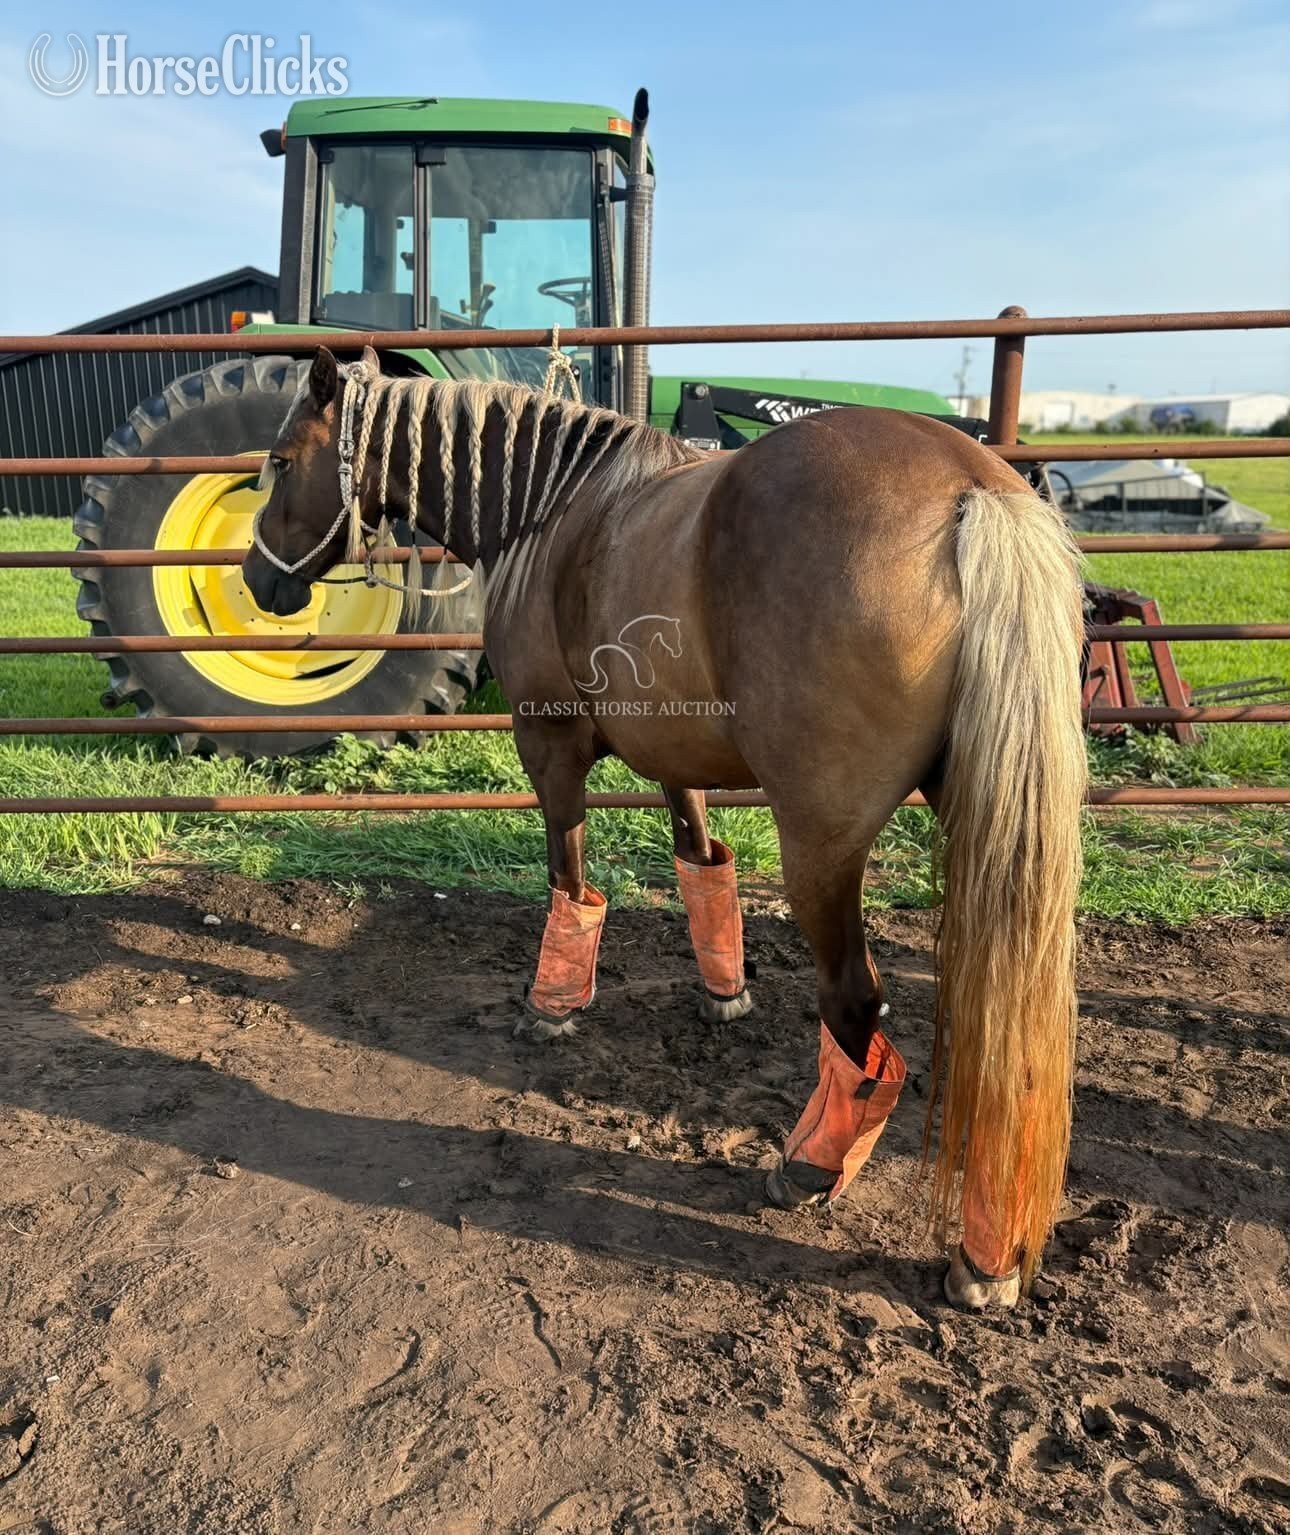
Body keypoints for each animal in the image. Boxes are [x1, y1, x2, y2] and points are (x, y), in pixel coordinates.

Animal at [243, 346, 1086, 1310]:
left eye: (278, 462)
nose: (258, 580)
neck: (551, 507)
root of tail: (971, 491)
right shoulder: (677, 754)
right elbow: (702, 863)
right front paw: (724, 993)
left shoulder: (550, 743)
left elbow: (569, 875)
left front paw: (554, 1005)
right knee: (1012, 1032)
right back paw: (988, 1253)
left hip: (822, 843)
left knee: (853, 1000)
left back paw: (811, 1165)